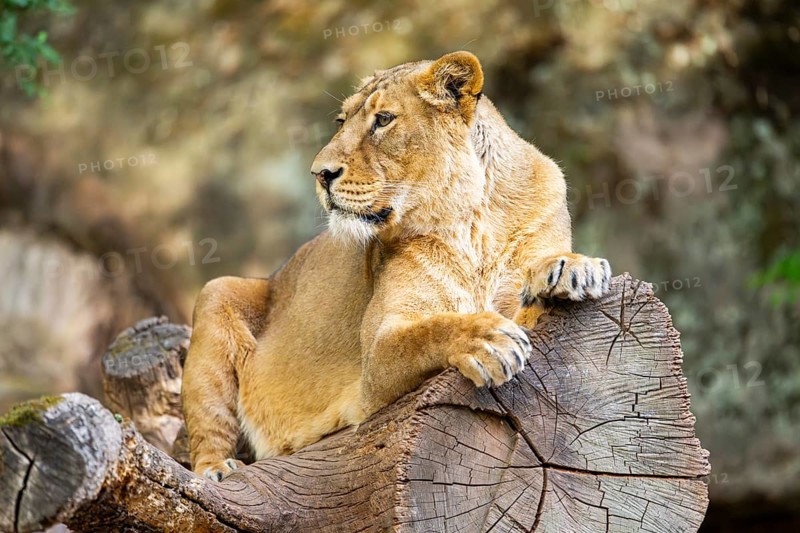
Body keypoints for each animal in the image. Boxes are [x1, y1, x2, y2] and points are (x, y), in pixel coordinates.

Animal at [182, 51, 611, 481]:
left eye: (383, 120)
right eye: (341, 121)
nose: (320, 174)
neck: (472, 223)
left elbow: (531, 300)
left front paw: (572, 269)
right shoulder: (376, 356)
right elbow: (429, 332)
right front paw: (487, 339)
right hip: (216, 293)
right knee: (207, 432)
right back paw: (218, 468)